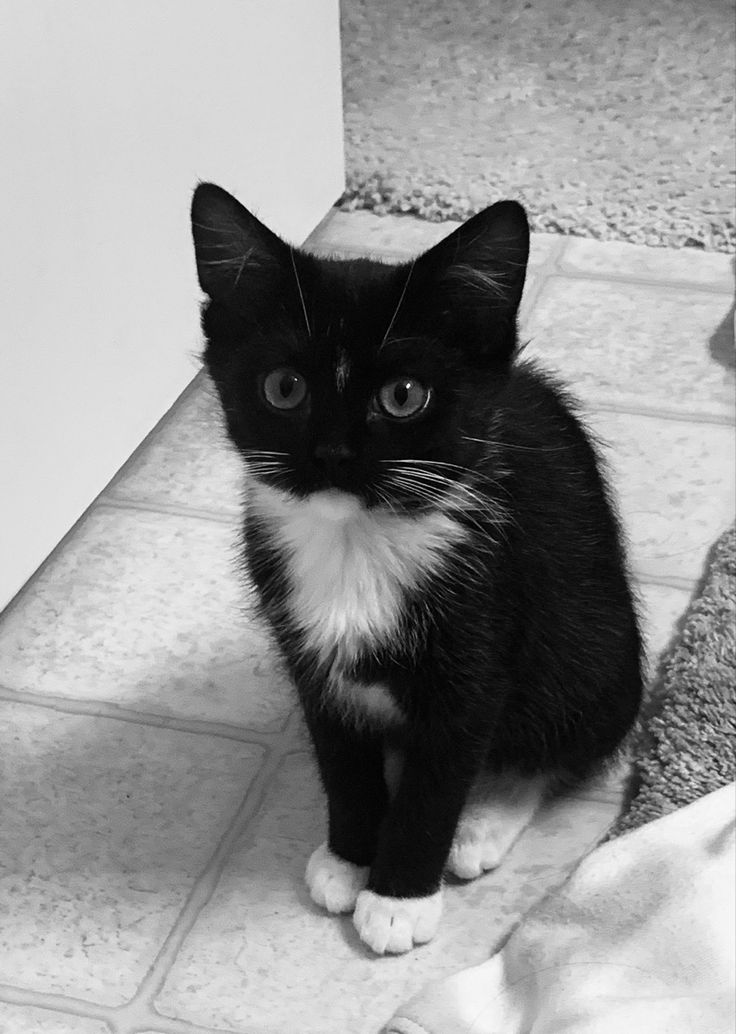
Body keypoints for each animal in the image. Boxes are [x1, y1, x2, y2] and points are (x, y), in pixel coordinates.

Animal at [191, 184, 645, 951]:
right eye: (283, 388)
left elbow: (440, 779)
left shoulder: (480, 642)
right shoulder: (308, 653)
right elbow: (341, 759)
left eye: (403, 396)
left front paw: (398, 895)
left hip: (591, 656)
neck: (358, 540)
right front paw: (351, 855)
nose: (333, 454)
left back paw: (485, 819)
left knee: (557, 743)